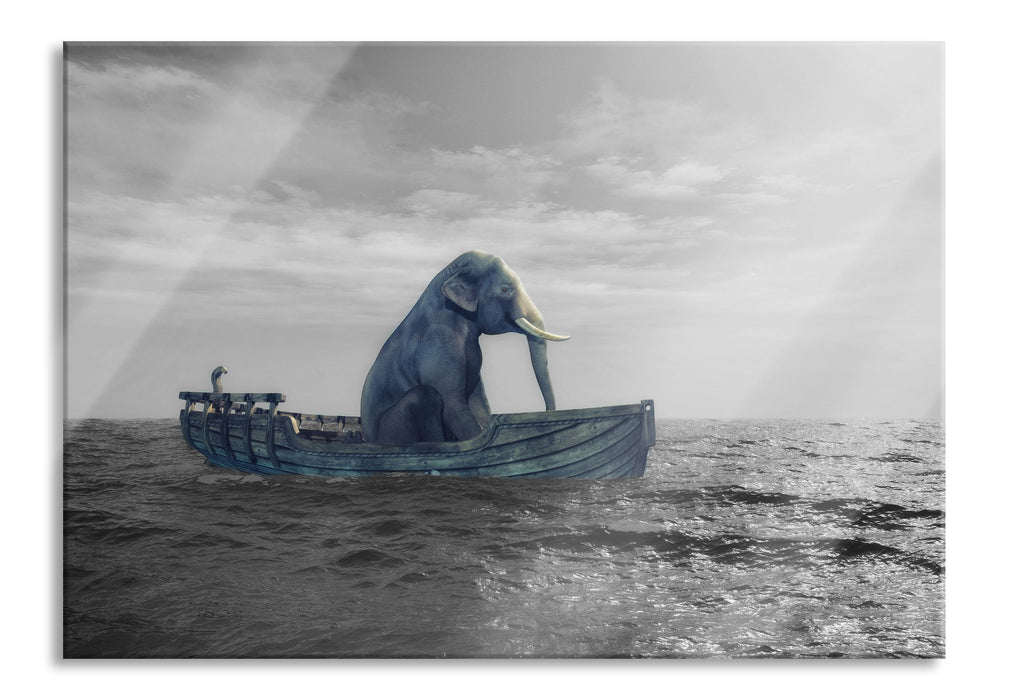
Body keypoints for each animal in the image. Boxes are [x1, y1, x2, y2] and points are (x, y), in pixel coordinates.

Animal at [360, 250, 569, 444]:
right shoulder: (438, 347)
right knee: (425, 395)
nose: (547, 413)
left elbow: (479, 402)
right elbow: (453, 407)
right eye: (504, 289)